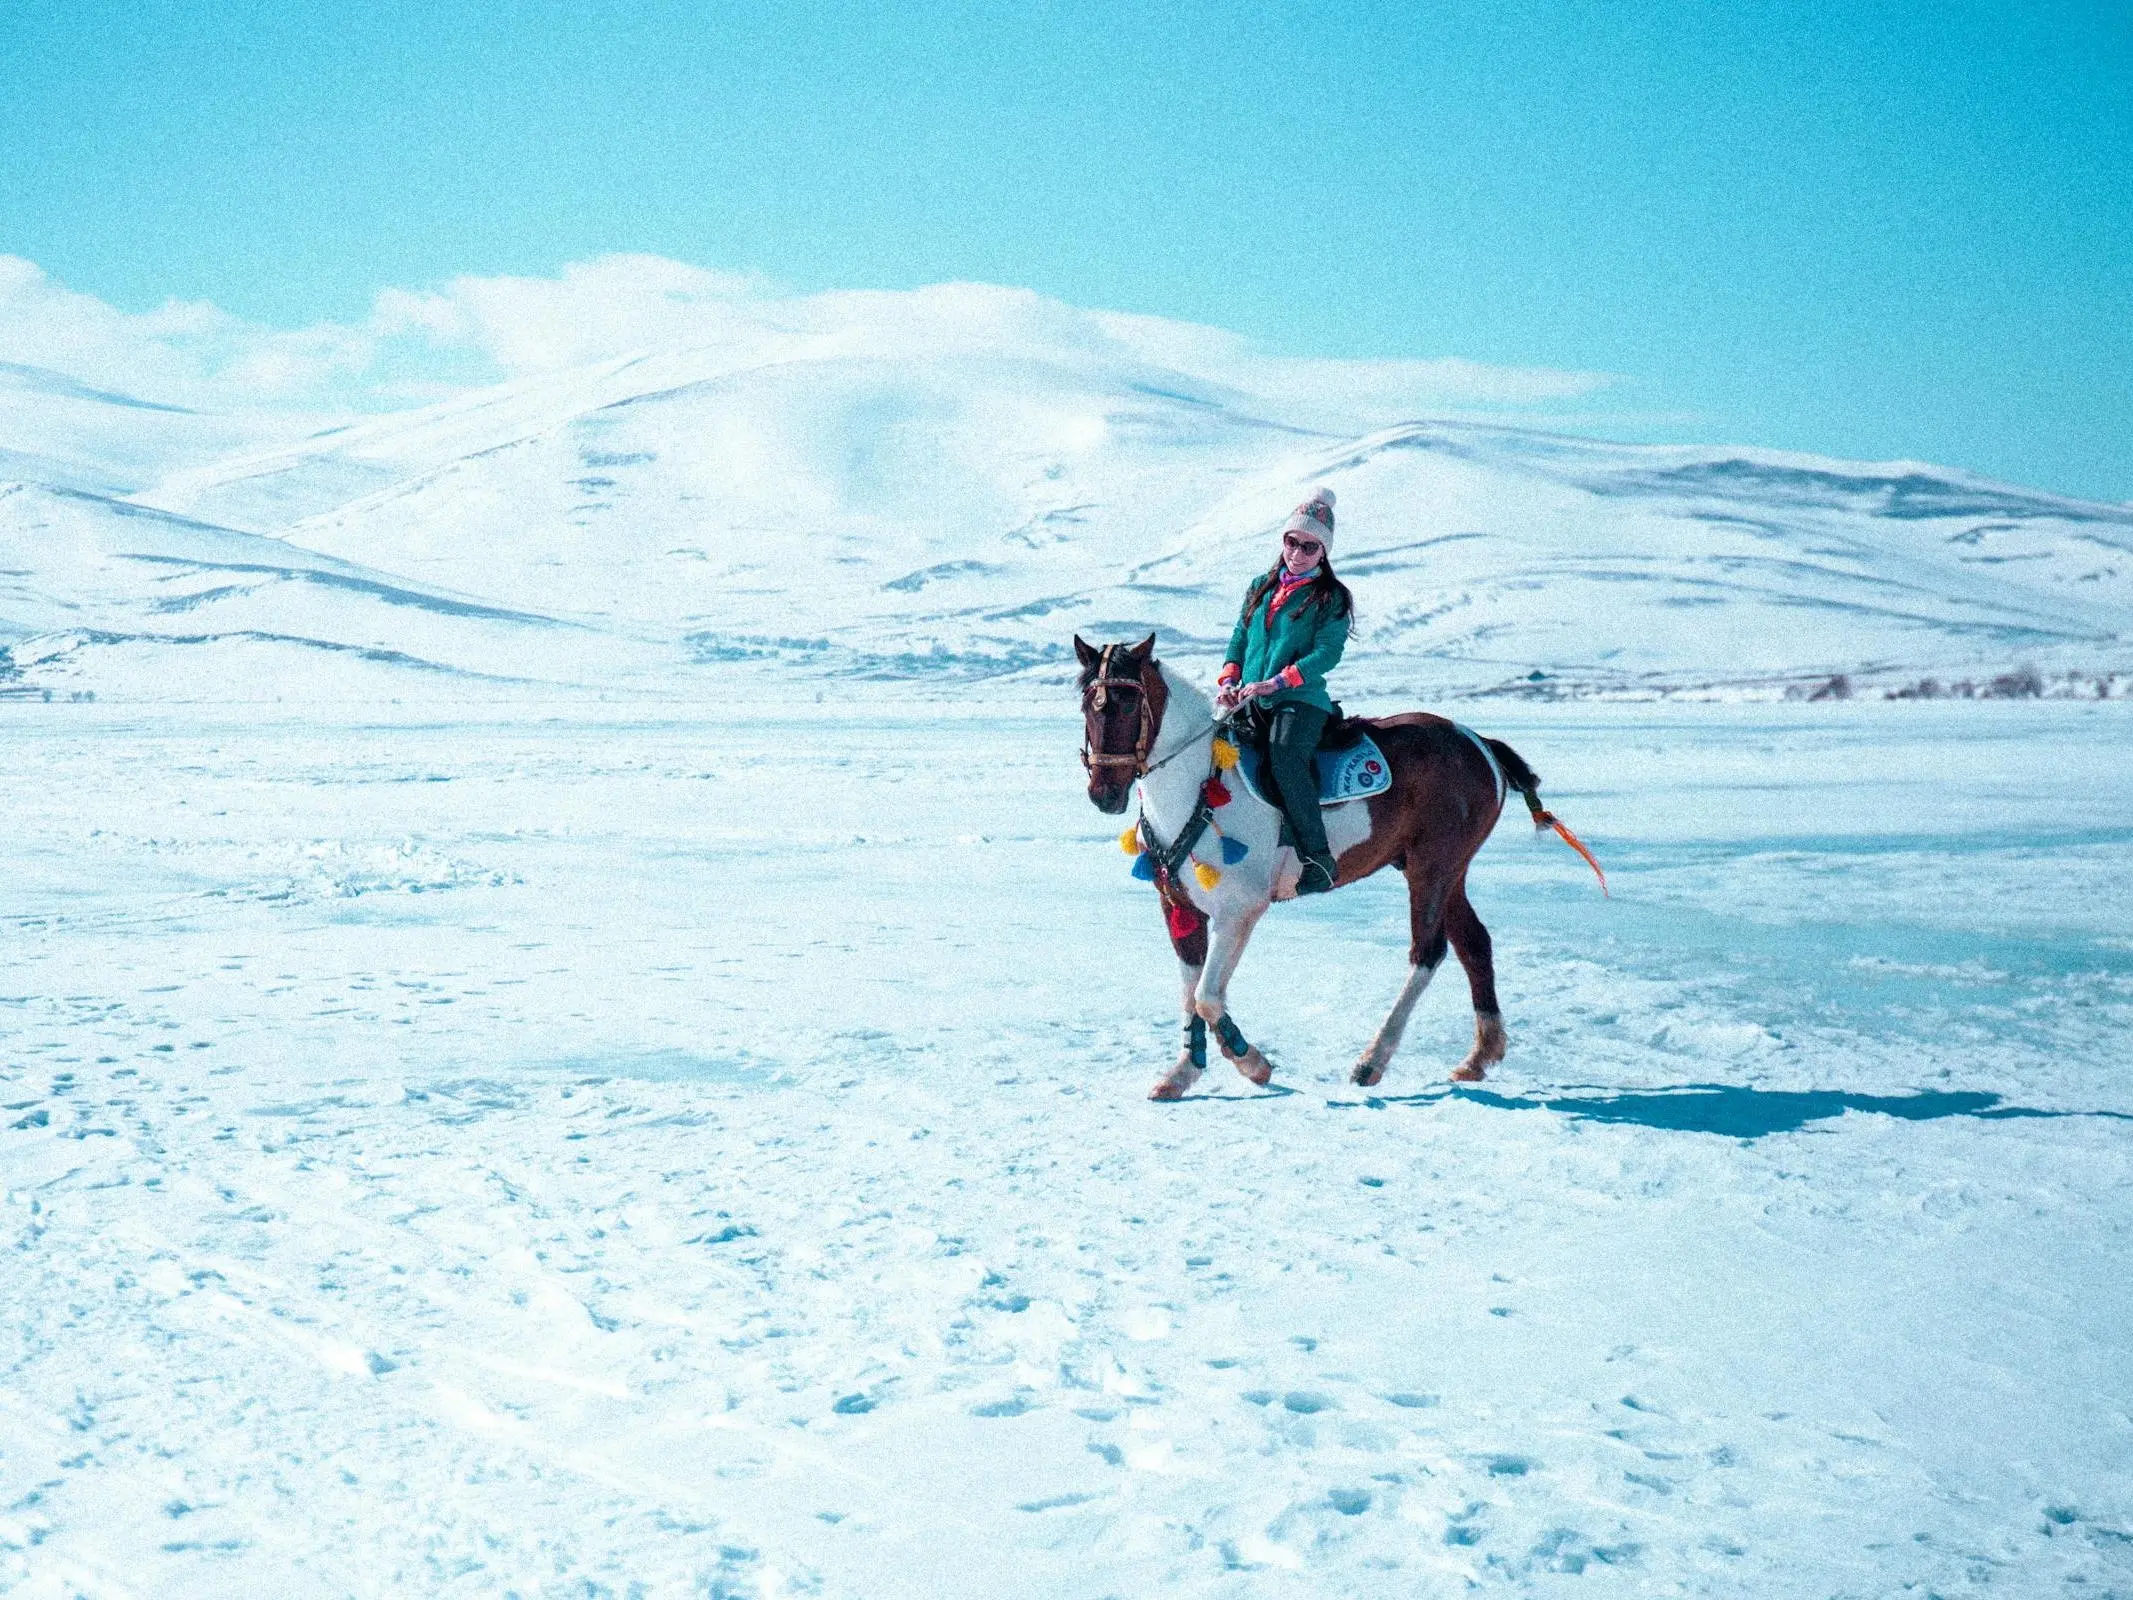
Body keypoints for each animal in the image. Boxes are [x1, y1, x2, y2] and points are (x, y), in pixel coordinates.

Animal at [1083, 635, 1604, 1100]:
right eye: (1088, 704)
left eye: (1128, 705)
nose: (1104, 792)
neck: (1198, 782)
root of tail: (1480, 744)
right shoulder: (1179, 906)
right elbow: (1191, 993)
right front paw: (1182, 1074)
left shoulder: (1239, 909)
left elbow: (1208, 998)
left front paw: (1251, 1061)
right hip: (1446, 868)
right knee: (1474, 944)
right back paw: (1479, 1057)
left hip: (1433, 865)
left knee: (1428, 951)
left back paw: (1372, 1061)